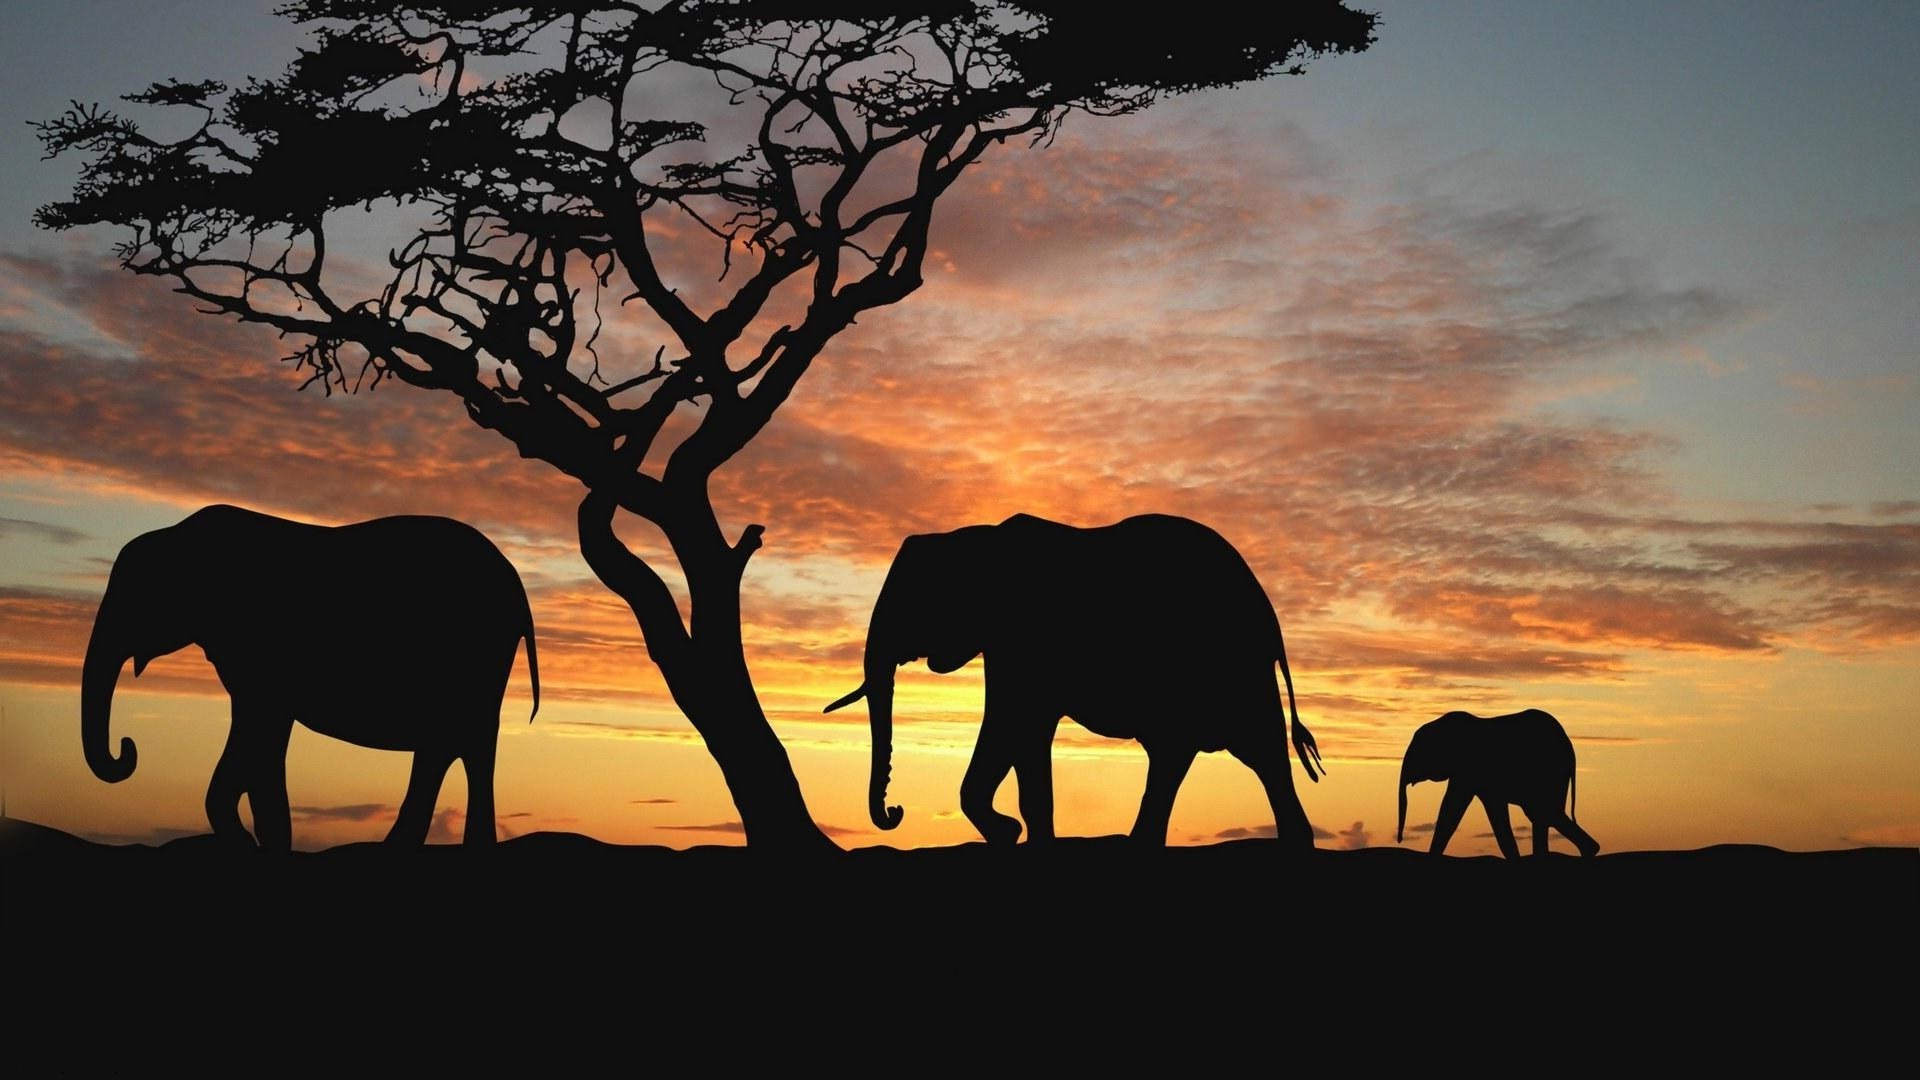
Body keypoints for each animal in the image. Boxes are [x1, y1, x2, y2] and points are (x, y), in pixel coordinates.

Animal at [78, 503, 537, 849]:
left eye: (134, 598)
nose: (127, 748)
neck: (179, 535)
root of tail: (516, 583)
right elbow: (259, 735)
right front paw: (255, 839)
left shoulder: (260, 651)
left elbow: (260, 728)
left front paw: (256, 841)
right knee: (449, 745)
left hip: (475, 655)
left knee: (465, 742)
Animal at [817, 515, 1328, 849]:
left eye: (910, 603)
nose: (896, 812)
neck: (975, 537)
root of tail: (1269, 615)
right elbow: (1020, 735)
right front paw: (1016, 836)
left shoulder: (1024, 641)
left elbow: (1014, 723)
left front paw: (1013, 834)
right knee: (1197, 754)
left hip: (1230, 667)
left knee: (1251, 750)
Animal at [1397, 707, 1605, 857]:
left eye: (1417, 752)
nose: (1399, 840)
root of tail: (1570, 747)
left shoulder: (1468, 770)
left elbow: (1453, 808)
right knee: (1544, 815)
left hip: (1550, 774)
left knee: (1545, 813)